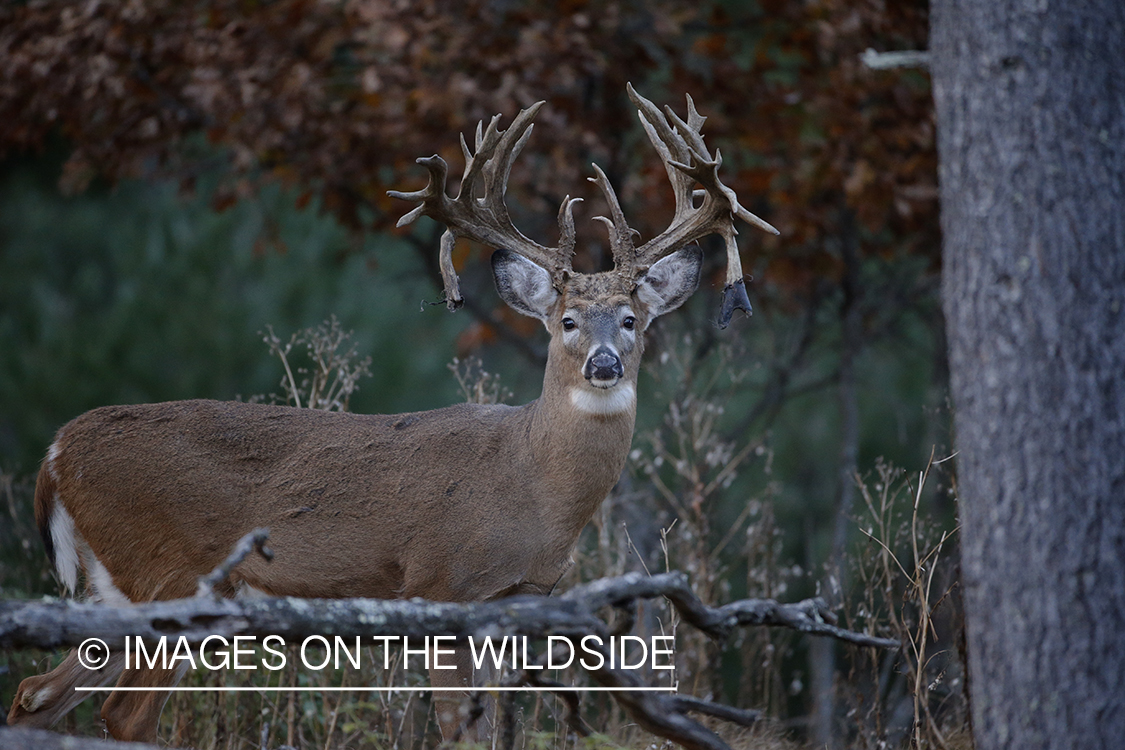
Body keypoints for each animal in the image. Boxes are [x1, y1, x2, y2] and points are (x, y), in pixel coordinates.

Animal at [8, 83, 778, 746]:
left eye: (630, 320)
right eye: (565, 321)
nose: (604, 365)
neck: (531, 485)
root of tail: (54, 455)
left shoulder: (519, 602)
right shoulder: (440, 586)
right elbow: (457, 727)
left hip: (118, 592)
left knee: (36, 693)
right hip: (174, 575)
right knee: (125, 713)